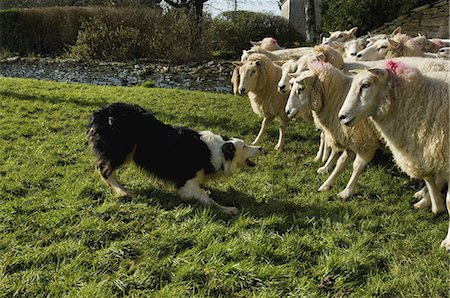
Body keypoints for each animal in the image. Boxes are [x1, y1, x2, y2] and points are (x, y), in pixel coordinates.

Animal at [87, 103, 262, 215]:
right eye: (244, 146)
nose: (261, 148)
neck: (217, 152)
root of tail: (101, 112)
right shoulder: (186, 182)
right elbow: (206, 198)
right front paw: (227, 209)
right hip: (122, 149)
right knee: (103, 168)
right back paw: (121, 191)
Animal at [286, 61, 382, 198]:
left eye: (301, 89)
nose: (287, 111)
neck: (338, 97)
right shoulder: (347, 136)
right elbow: (340, 161)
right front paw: (326, 180)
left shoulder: (365, 142)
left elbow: (357, 166)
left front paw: (346, 192)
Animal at [340, 60, 448, 249]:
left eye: (366, 85)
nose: (342, 116)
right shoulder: (425, 150)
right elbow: (428, 176)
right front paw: (435, 205)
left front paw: (447, 242)